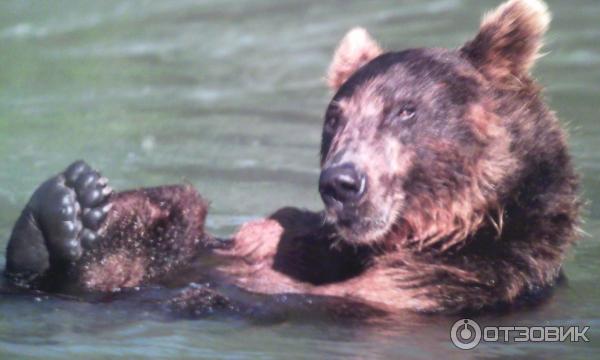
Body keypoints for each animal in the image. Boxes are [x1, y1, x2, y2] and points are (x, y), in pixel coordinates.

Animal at [1, 0, 580, 316]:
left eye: (405, 110)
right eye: (335, 119)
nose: (342, 182)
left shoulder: (454, 280)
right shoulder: (281, 235)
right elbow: (210, 236)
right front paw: (86, 208)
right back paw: (58, 212)